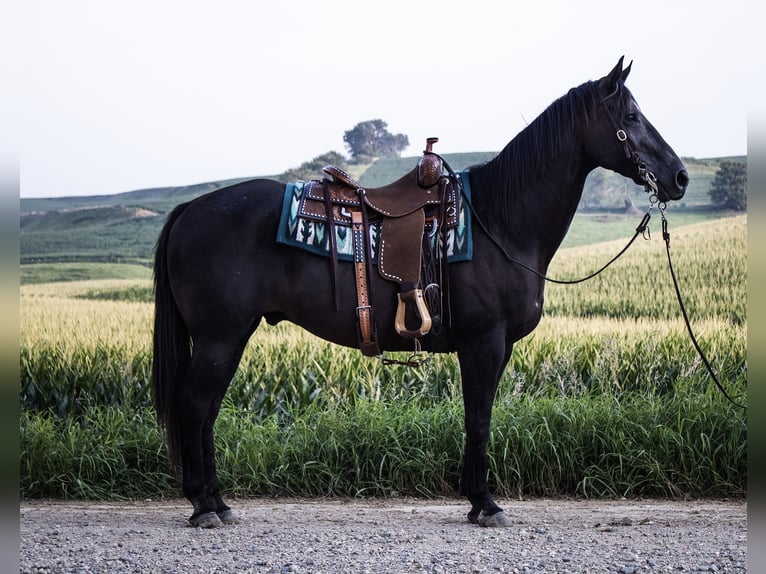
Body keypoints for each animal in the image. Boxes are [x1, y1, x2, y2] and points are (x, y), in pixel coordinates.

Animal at [152, 57, 688, 528]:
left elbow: (478, 418)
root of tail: (190, 210)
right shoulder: (483, 345)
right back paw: (202, 506)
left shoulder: (496, 349)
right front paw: (484, 503)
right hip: (220, 338)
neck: (499, 221)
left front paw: (476, 500)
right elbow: (479, 419)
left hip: (230, 338)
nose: (679, 176)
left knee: (205, 412)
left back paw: (218, 502)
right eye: (631, 117)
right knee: (195, 406)